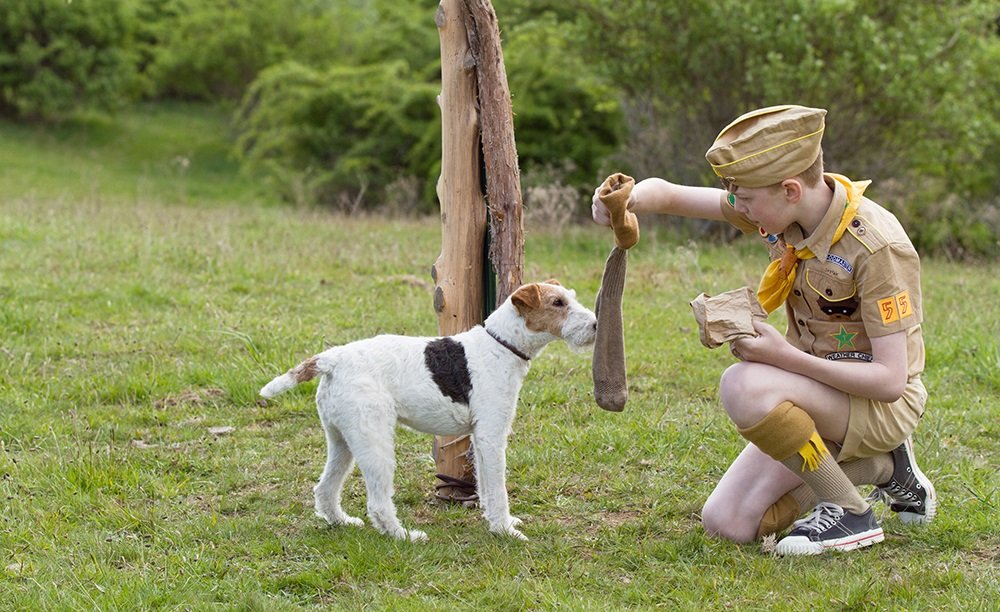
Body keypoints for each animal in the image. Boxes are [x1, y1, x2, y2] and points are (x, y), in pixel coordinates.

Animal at [262, 280, 596, 540]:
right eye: (557, 302)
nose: (595, 325)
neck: (500, 344)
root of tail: (331, 359)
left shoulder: (480, 437)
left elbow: (486, 487)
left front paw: (497, 521)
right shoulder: (491, 435)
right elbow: (498, 489)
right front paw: (505, 530)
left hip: (342, 440)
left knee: (325, 489)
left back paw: (342, 522)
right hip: (375, 442)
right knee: (378, 504)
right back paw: (404, 536)